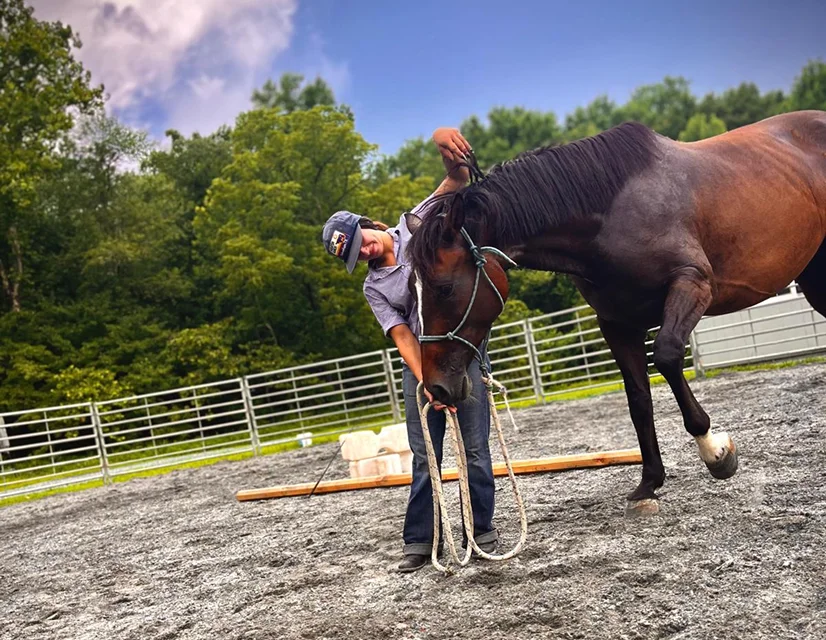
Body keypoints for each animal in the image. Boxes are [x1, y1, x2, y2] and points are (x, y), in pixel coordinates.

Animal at [405, 110, 826, 516]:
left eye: (444, 288)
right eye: (412, 290)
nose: (436, 387)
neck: (610, 214)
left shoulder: (692, 284)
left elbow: (667, 355)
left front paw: (715, 452)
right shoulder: (616, 322)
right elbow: (637, 397)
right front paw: (649, 483)